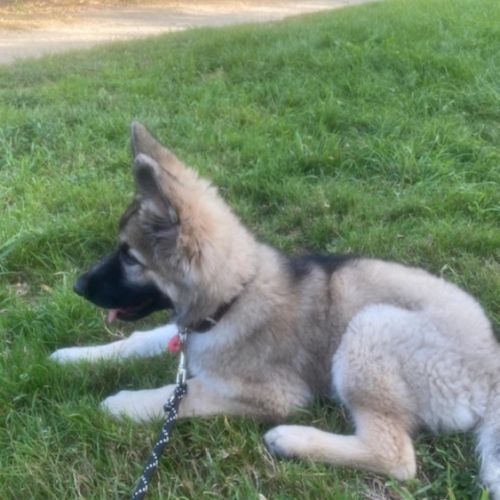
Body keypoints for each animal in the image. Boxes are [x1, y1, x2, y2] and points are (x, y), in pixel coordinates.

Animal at [51, 122, 500, 497]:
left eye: (129, 257)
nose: (77, 287)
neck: (235, 296)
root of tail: (491, 372)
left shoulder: (273, 393)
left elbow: (185, 394)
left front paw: (124, 403)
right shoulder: (187, 329)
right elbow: (138, 339)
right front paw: (76, 356)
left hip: (370, 328)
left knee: (395, 457)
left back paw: (291, 439)